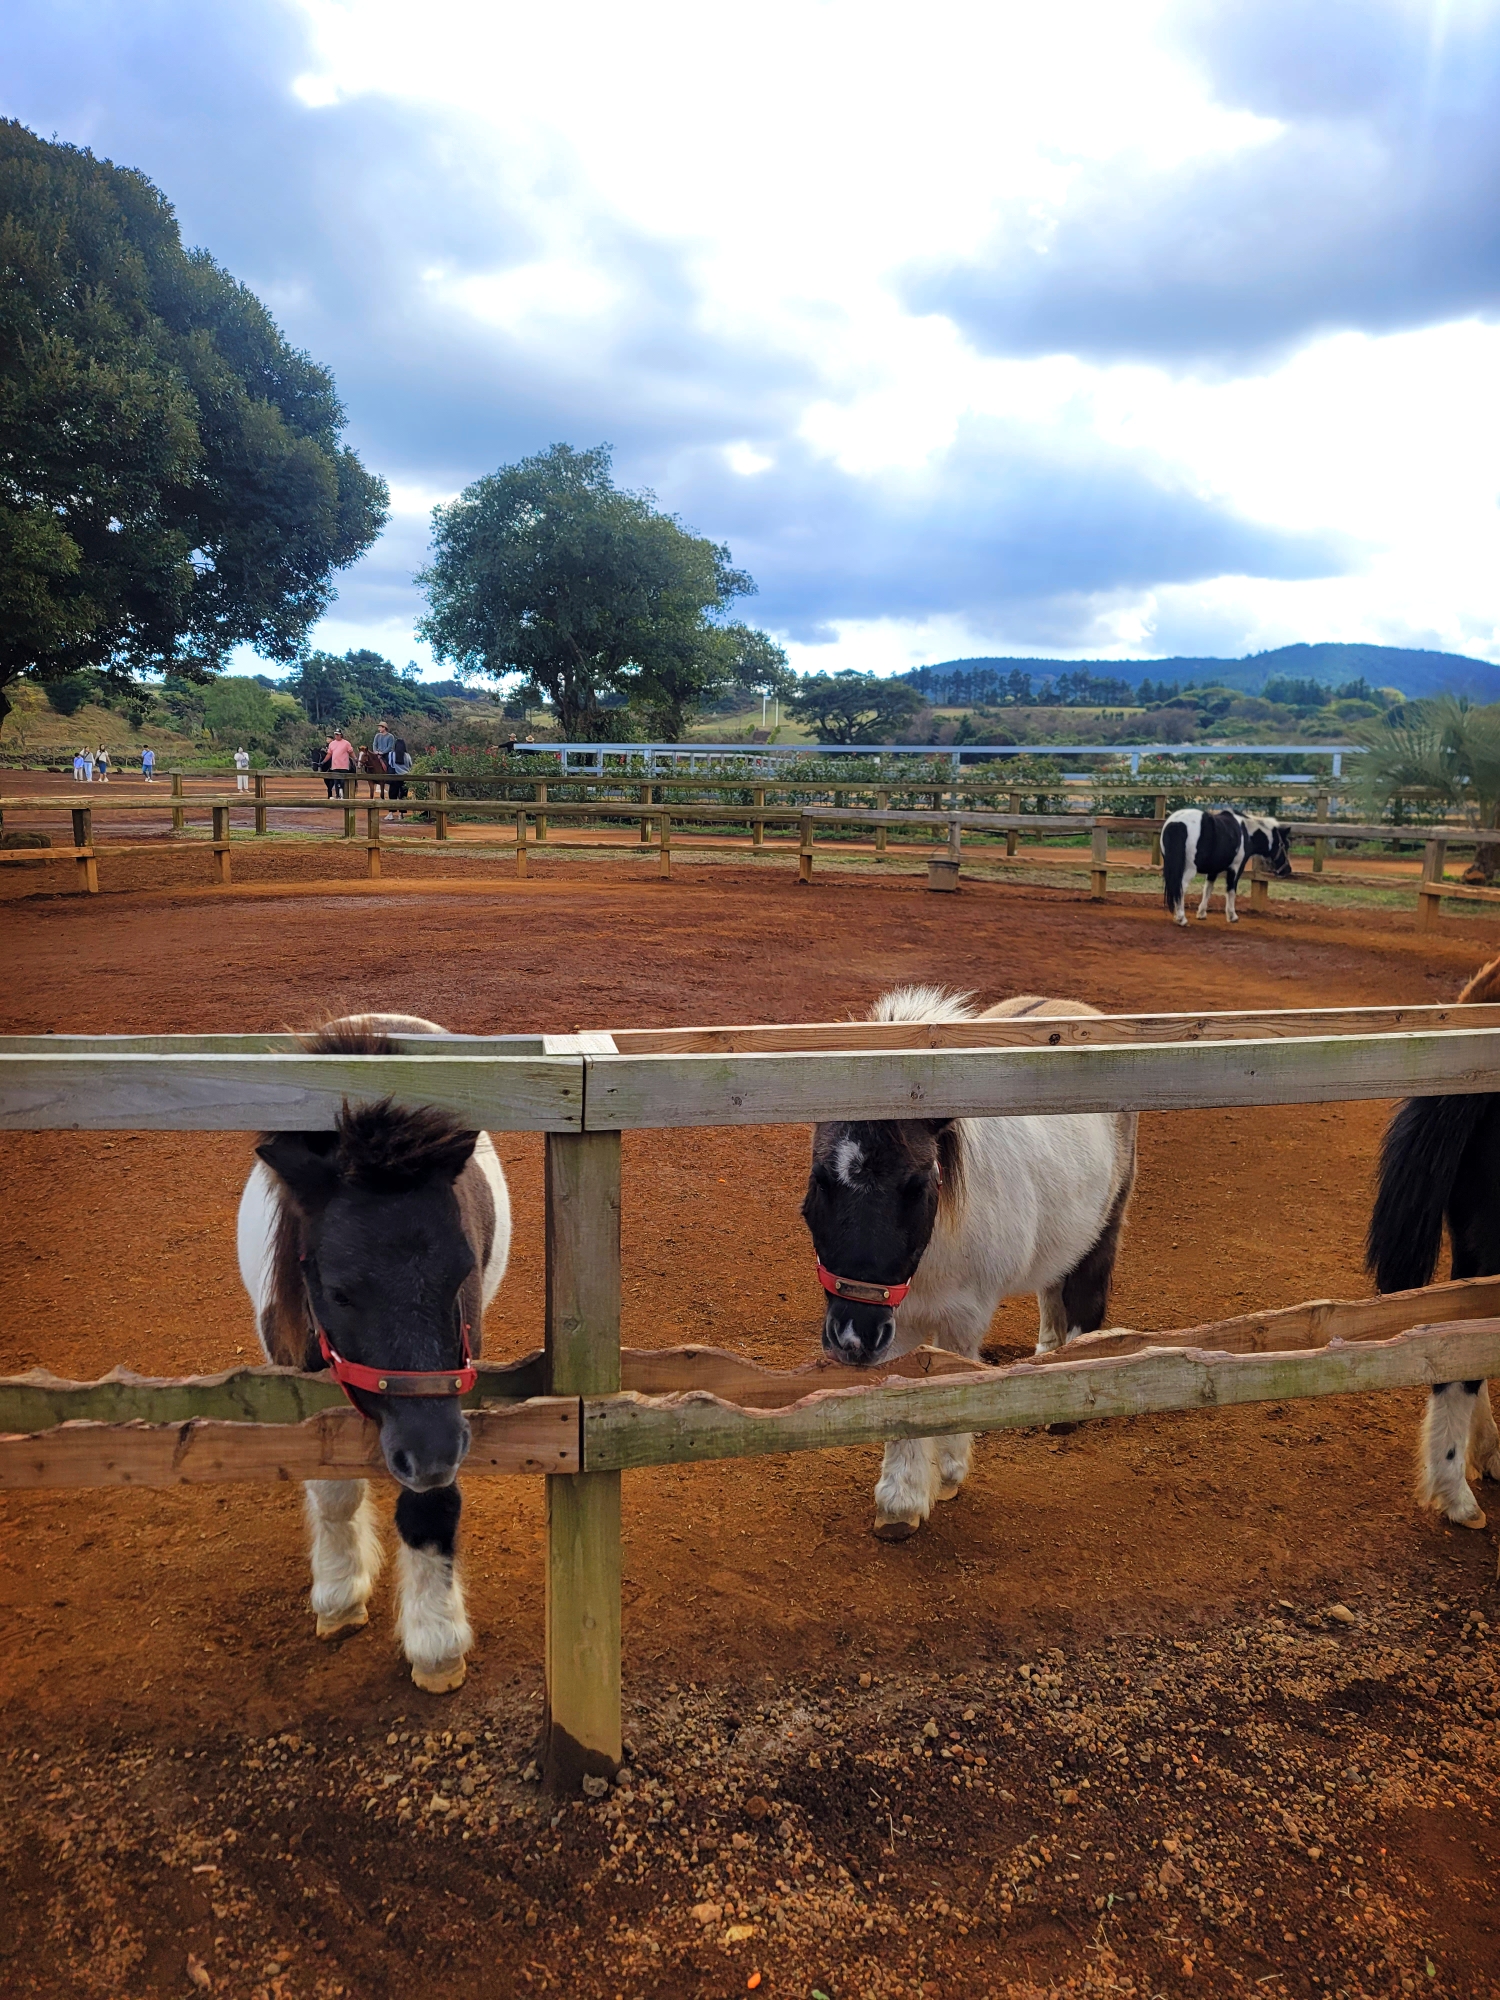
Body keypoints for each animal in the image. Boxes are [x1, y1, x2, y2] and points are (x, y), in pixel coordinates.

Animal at [235, 1016, 516, 1688]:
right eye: (338, 1290)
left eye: (461, 1273)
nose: (430, 1451)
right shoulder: (295, 1386)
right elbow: (333, 1488)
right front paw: (339, 1595)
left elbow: (431, 1507)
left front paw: (436, 1642)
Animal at [800, 992, 1136, 1536]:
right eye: (820, 1180)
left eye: (918, 1184)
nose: (853, 1336)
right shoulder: (899, 1322)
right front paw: (900, 1503)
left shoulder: (965, 1314)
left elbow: (952, 1379)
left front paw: (948, 1474)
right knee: (1052, 1295)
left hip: (1103, 1227)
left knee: (1083, 1301)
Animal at [1160, 804, 1296, 928]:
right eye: (1285, 844)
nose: (1287, 870)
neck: (1246, 832)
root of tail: (1177, 823)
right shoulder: (1236, 868)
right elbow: (1231, 890)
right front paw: (1232, 916)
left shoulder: (1213, 870)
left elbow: (1208, 889)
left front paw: (1201, 913)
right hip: (1189, 869)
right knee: (1180, 887)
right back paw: (1181, 918)